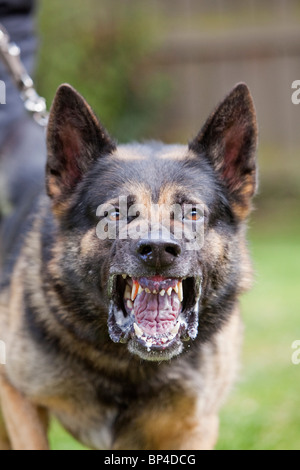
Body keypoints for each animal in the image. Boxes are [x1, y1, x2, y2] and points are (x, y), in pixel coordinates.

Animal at [0, 82, 258, 450]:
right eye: (115, 213)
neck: (128, 363)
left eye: (192, 213)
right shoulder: (17, 396)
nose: (159, 250)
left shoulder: (196, 425)